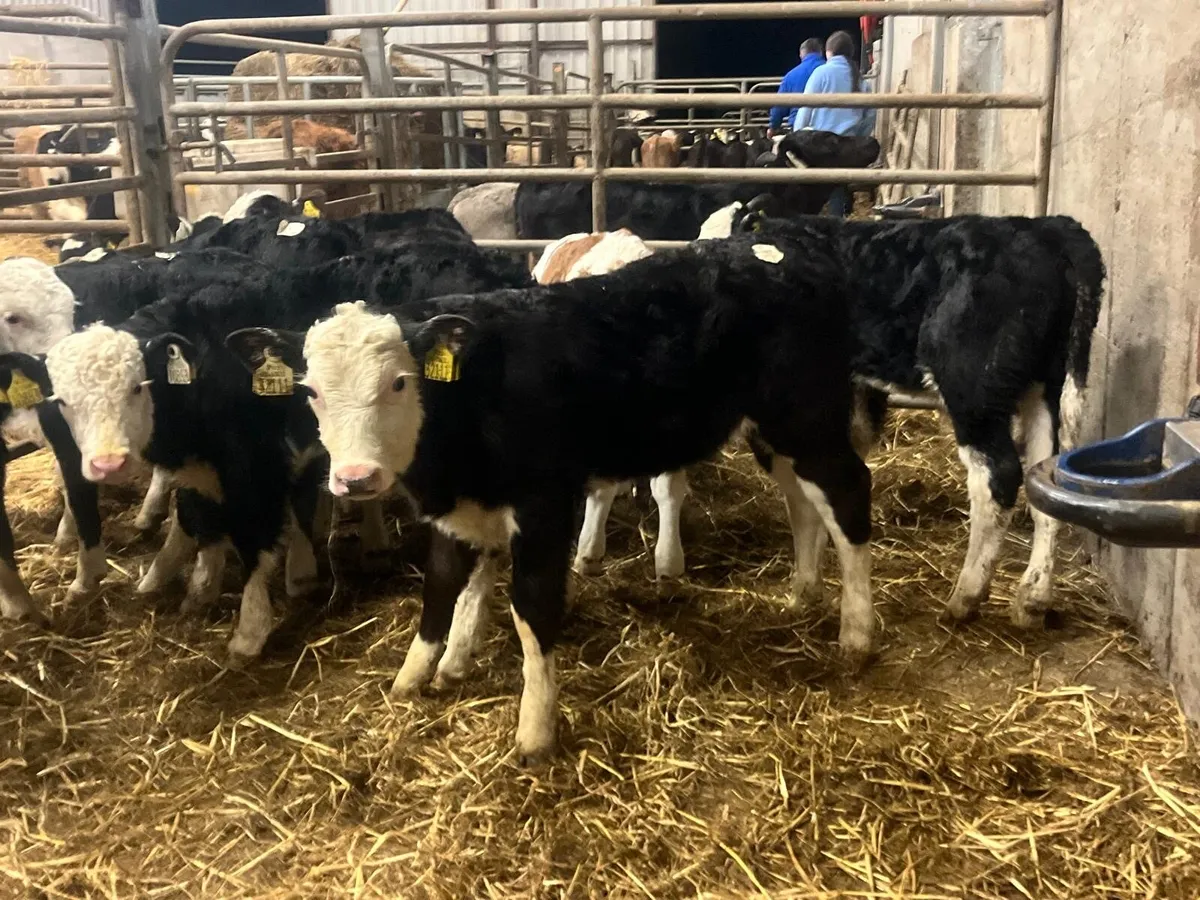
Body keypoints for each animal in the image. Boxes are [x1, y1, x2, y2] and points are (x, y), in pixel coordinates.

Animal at [273, 234, 873, 765]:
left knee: (848, 496)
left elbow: (532, 607)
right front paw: (414, 677)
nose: (356, 478)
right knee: (803, 504)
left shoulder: (544, 504)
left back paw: (858, 633)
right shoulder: (460, 507)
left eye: (399, 382)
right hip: (775, 431)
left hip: (808, 417)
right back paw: (802, 593)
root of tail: (788, 252)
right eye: (311, 392)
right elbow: (440, 584)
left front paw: (536, 730)